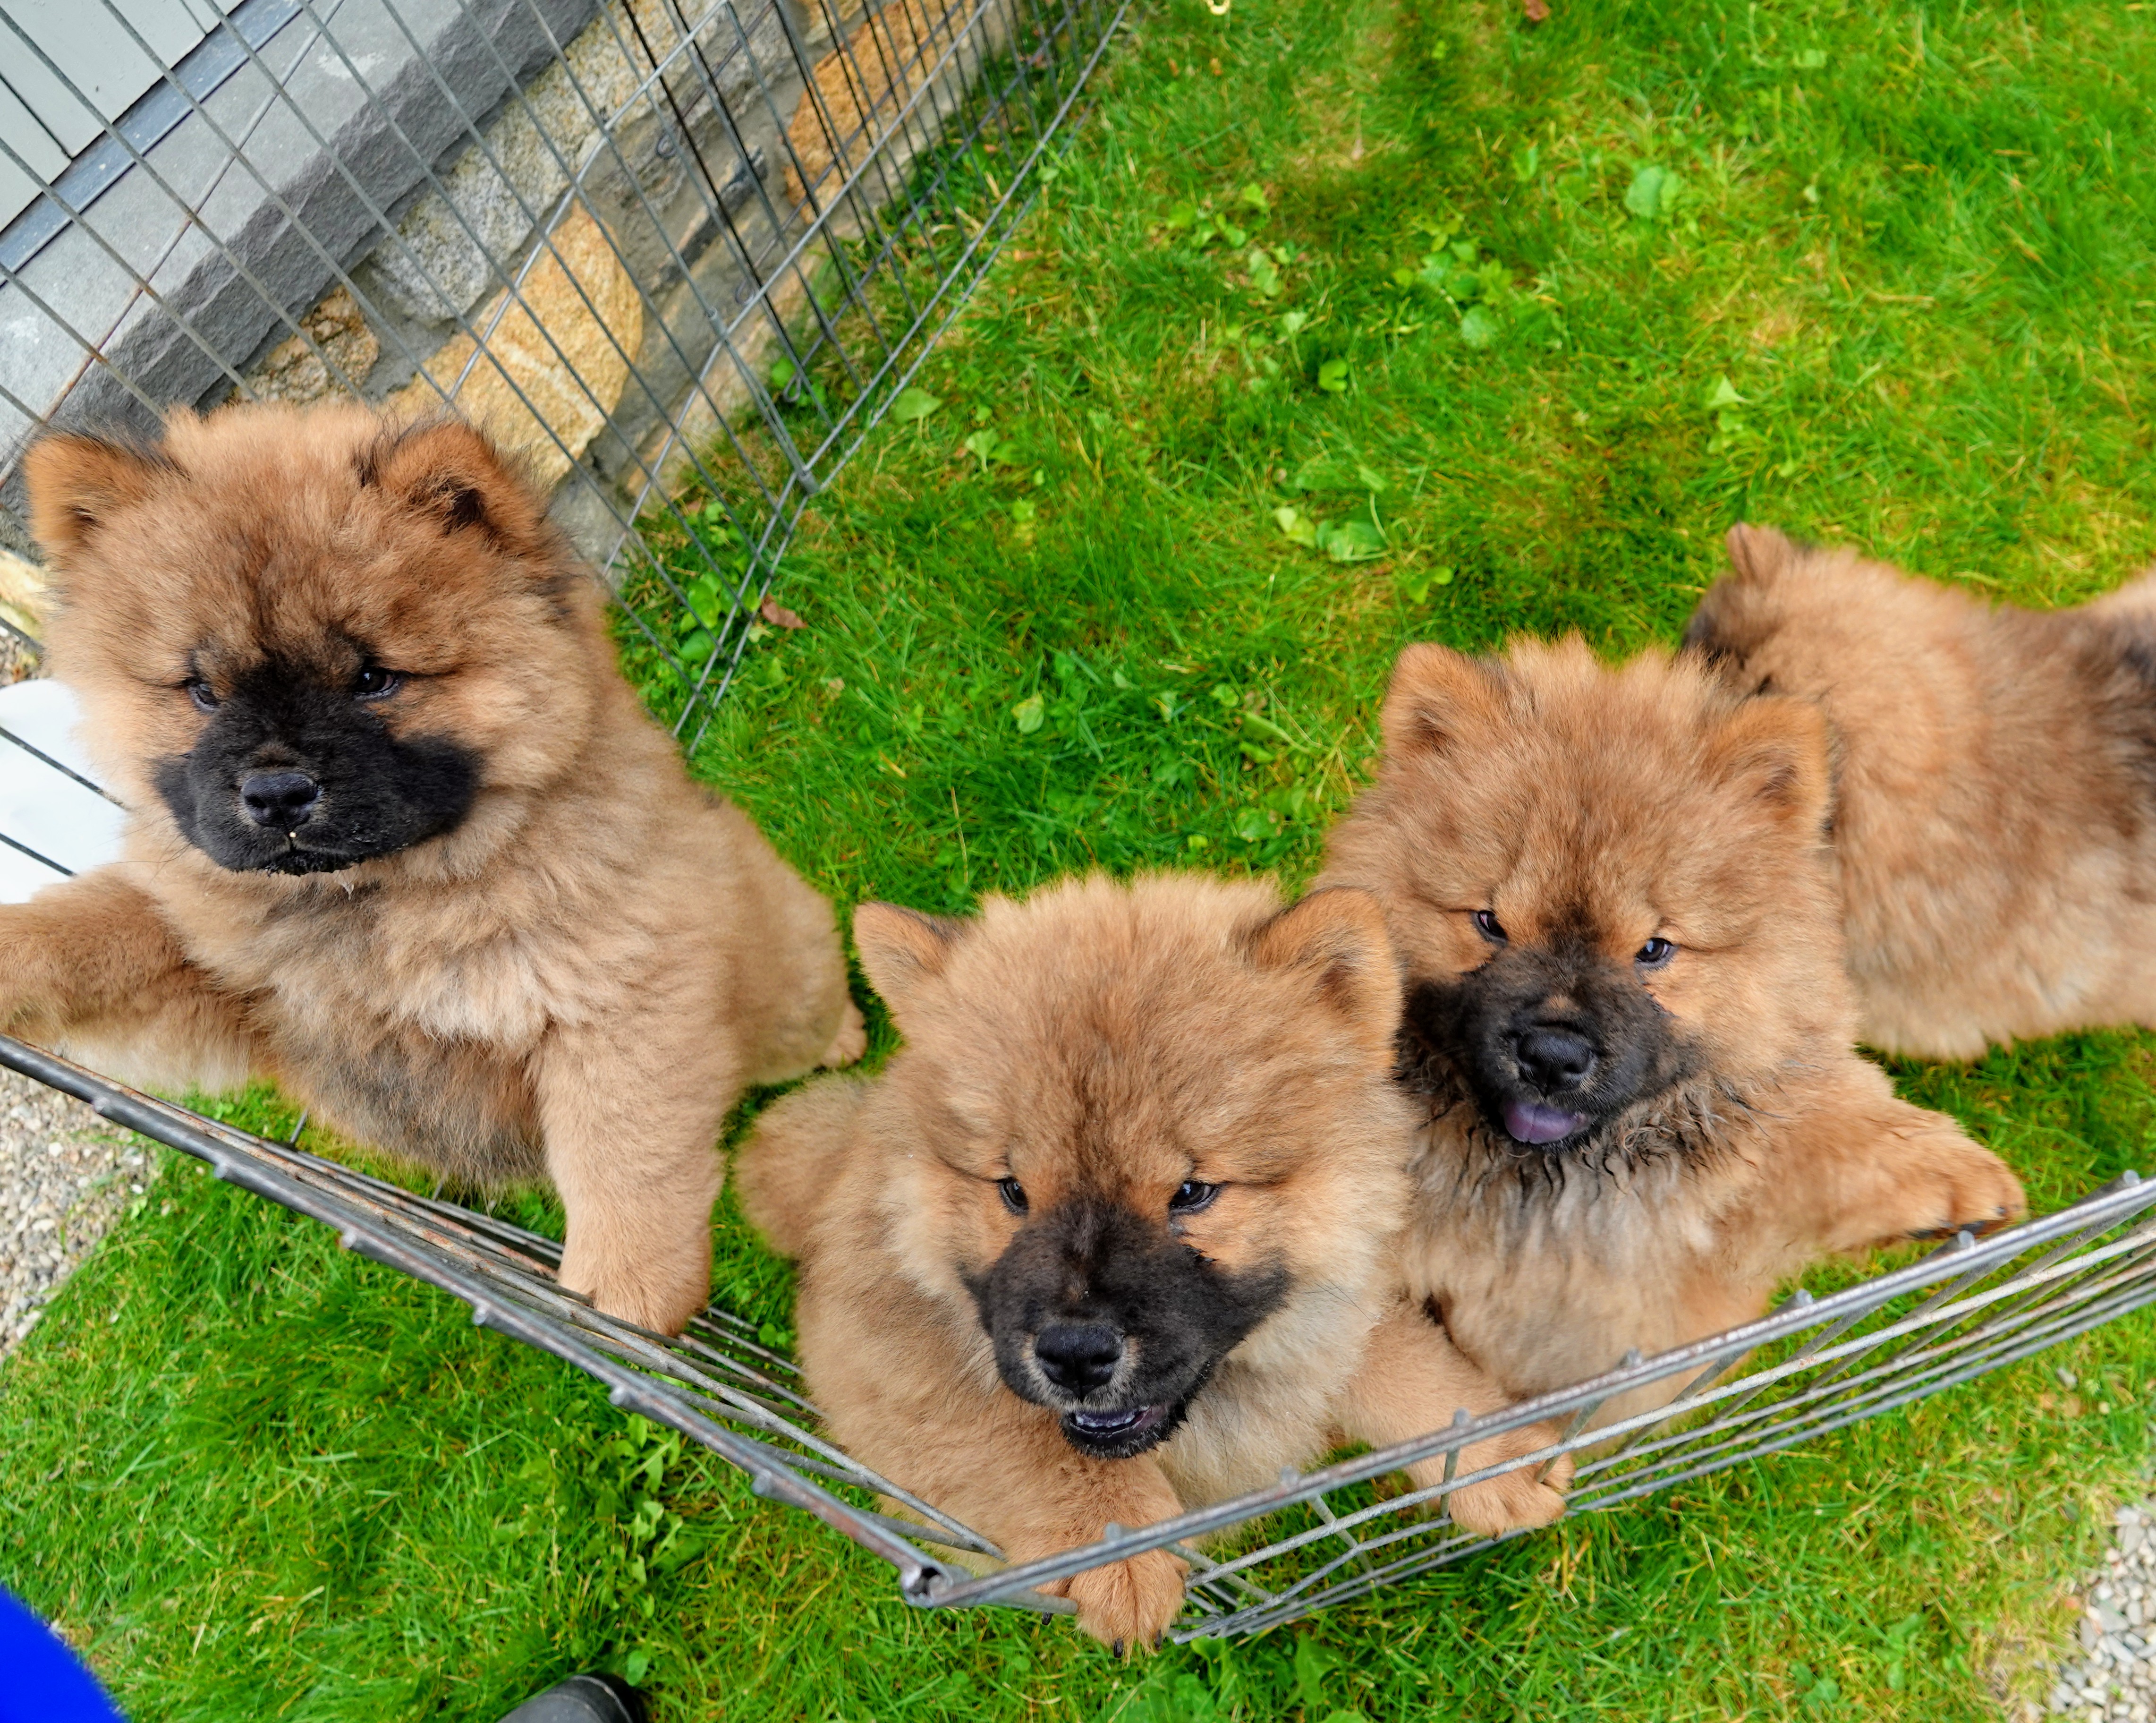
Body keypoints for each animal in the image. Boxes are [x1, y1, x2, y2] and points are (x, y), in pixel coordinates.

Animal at [10, 405, 866, 1337]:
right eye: (201, 690)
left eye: (373, 678)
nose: (275, 793)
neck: (370, 899)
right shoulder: (229, 984)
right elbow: (95, 926)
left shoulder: (616, 988)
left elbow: (621, 1147)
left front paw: (626, 1296)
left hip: (788, 982)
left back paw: (849, 1038)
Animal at [737, 884, 1570, 1647]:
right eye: (1013, 1190)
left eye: (1191, 1193)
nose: (1074, 1355)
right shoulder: (899, 1347)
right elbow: (1014, 1436)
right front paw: (1116, 1546)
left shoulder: (1337, 1304)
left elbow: (1408, 1374)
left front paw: (1498, 1460)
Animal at [1311, 638, 2035, 1423]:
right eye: (1490, 924)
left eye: (1654, 949)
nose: (1552, 1054)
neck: (1550, 1190)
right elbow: (1392, 1366)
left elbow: (1822, 1140)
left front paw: (1952, 1180)